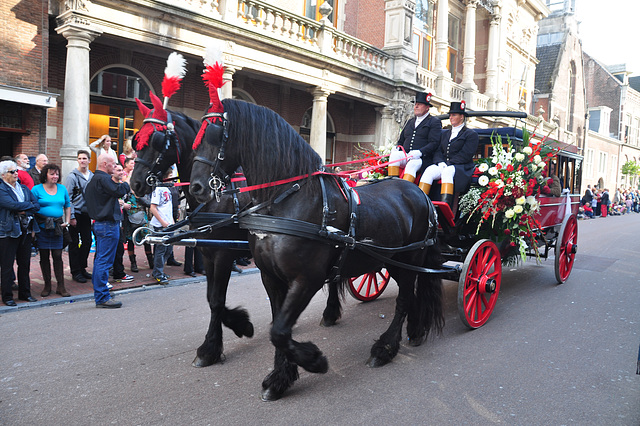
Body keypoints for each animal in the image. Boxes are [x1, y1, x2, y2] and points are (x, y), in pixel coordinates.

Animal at [129, 94, 344, 370]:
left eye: (156, 141)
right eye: (137, 140)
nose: (134, 183)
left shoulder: (223, 254)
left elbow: (217, 300)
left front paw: (216, 343)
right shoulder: (207, 252)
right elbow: (212, 298)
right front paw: (236, 327)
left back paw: (330, 312)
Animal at [188, 99, 442, 400]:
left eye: (216, 133)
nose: (196, 187)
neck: (285, 201)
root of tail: (422, 194)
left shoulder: (305, 278)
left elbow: (279, 331)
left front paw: (313, 361)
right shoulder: (269, 276)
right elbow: (275, 324)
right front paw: (279, 377)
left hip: (410, 256)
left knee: (404, 299)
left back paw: (385, 348)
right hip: (392, 261)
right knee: (410, 293)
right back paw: (414, 330)